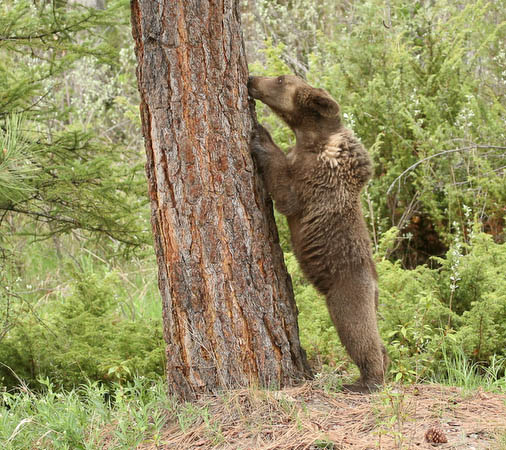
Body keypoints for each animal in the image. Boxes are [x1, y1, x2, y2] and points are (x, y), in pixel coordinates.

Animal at [248, 74, 388, 394]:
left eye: (279, 79)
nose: (251, 78)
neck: (308, 137)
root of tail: (374, 284)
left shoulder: (315, 178)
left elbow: (286, 194)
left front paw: (261, 136)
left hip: (347, 292)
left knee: (358, 333)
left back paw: (363, 382)